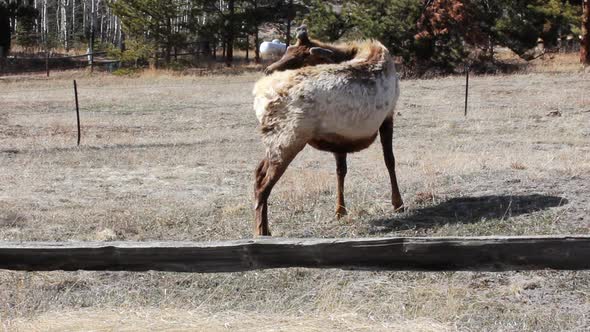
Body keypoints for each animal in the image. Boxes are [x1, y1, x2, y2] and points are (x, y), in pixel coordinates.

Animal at [254, 27, 408, 236]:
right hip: (288, 139)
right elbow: (390, 161)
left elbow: (340, 171)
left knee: (257, 173)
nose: (267, 70)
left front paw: (340, 210)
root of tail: (259, 96)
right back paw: (261, 231)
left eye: (302, 56)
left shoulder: (339, 136)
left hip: (275, 141)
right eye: (287, 50)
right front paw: (398, 203)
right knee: (263, 184)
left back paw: (266, 229)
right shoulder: (388, 115)